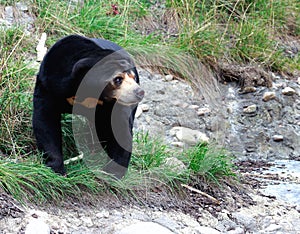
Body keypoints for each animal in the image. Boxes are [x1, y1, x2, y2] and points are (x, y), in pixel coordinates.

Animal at [32, 34, 144, 177]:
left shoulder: (116, 105)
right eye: (118, 79)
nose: (139, 92)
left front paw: (112, 174)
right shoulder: (49, 85)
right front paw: (56, 168)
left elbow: (120, 130)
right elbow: (45, 121)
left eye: (133, 77)